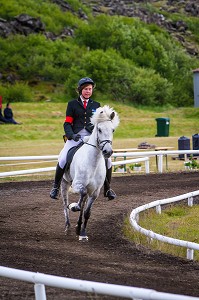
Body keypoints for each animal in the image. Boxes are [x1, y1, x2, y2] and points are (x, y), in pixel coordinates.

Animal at [60, 105, 119, 241]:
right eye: (99, 129)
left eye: (113, 130)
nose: (108, 152)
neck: (93, 163)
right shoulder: (77, 185)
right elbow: (80, 196)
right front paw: (74, 206)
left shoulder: (95, 192)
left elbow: (87, 212)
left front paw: (82, 233)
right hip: (65, 182)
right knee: (65, 203)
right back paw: (68, 226)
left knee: (82, 204)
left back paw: (77, 227)